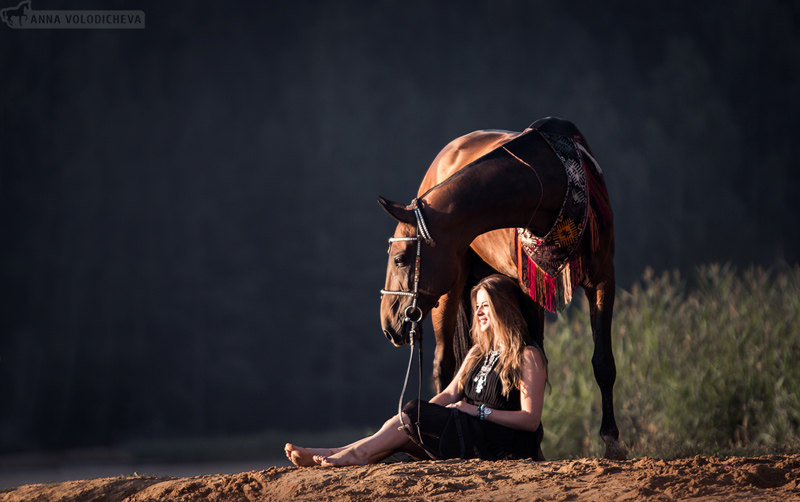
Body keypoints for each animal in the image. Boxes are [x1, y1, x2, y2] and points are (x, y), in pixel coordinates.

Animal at [378, 114, 620, 458]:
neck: (555, 182)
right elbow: (536, 353)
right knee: (443, 364)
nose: (387, 324)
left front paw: (611, 440)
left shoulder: (602, 278)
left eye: (399, 258)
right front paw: (533, 442)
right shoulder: (529, 289)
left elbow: (602, 362)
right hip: (448, 293)